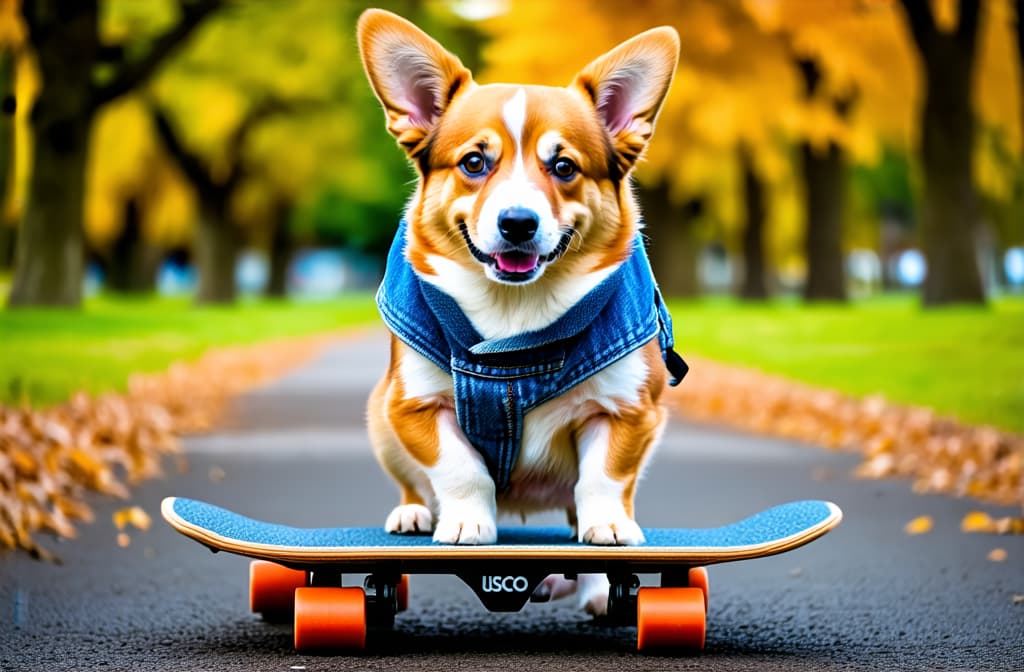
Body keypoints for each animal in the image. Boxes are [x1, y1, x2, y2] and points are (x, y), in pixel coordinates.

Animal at [356, 7, 684, 614]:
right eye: (474, 162)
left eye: (564, 167)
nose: (517, 223)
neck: (514, 318)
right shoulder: (415, 404)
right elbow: (460, 470)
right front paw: (466, 523)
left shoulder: (627, 412)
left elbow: (602, 480)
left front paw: (607, 535)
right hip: (381, 422)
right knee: (414, 482)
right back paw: (414, 512)